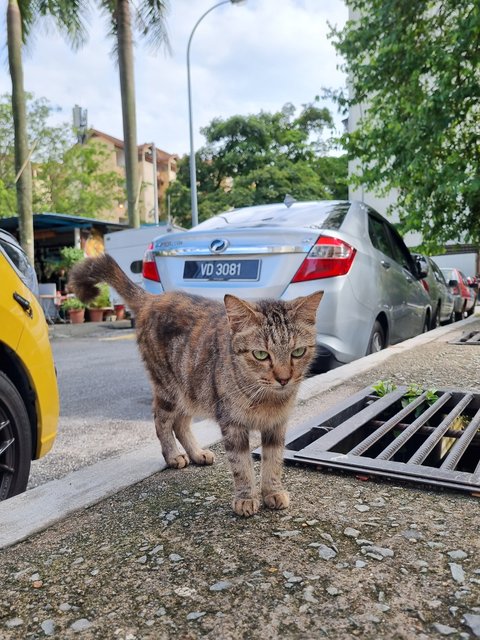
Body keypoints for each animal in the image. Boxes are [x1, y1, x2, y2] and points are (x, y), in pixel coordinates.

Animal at [68, 255, 322, 516]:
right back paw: (173, 455)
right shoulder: (232, 424)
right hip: (168, 389)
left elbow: (274, 460)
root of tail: (153, 299)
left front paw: (272, 491)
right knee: (161, 421)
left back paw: (197, 453)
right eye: (261, 354)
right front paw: (245, 497)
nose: (284, 378)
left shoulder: (277, 424)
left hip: (190, 390)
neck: (266, 399)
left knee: (180, 424)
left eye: (298, 352)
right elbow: (241, 465)